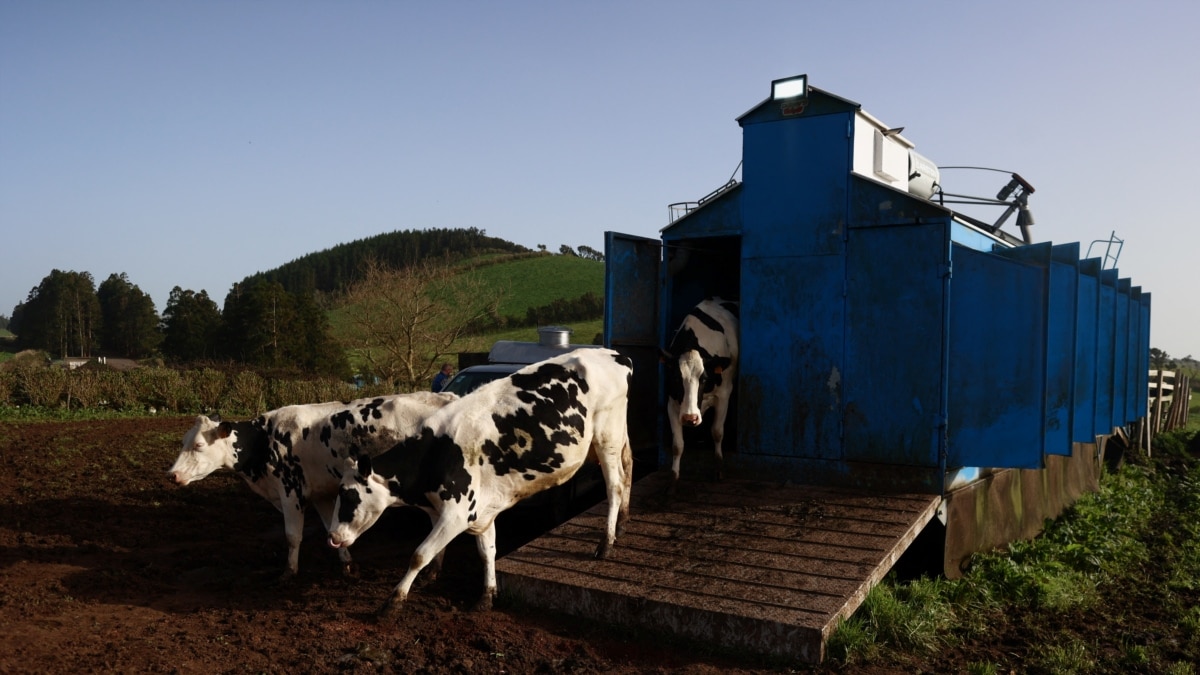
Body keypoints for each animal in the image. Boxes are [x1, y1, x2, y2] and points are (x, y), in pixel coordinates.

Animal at [174, 391, 458, 576]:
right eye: (184, 441)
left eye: (198, 445)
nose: (172, 474)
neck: (265, 440)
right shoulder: (320, 494)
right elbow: (329, 527)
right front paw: (346, 563)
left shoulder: (290, 491)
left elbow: (292, 536)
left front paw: (289, 572)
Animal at [324, 345, 633, 614]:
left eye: (349, 494)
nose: (332, 537)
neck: (436, 453)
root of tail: (612, 353)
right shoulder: (481, 509)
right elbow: (488, 552)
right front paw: (486, 597)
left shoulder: (458, 513)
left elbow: (420, 554)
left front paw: (393, 602)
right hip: (614, 437)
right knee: (628, 468)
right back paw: (623, 521)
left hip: (606, 436)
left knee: (614, 485)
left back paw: (606, 543)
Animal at [662, 296, 734, 485]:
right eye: (676, 379)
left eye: (704, 379)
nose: (690, 418)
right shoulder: (672, 402)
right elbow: (677, 445)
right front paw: (673, 479)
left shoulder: (724, 395)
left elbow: (717, 432)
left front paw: (719, 469)